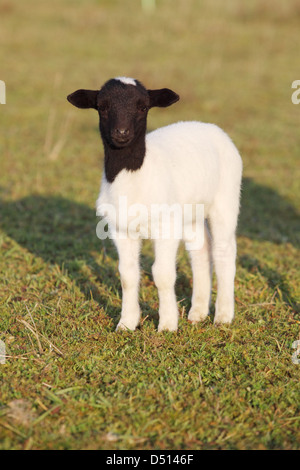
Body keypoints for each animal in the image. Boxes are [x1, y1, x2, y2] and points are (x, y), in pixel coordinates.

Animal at [67, 76, 243, 330]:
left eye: (143, 107)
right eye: (102, 107)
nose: (122, 132)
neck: (135, 175)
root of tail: (210, 127)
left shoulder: (166, 226)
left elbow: (162, 274)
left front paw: (168, 324)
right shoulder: (121, 229)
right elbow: (128, 275)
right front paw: (127, 323)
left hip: (225, 198)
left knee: (224, 251)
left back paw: (223, 316)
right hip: (190, 211)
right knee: (201, 250)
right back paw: (198, 312)